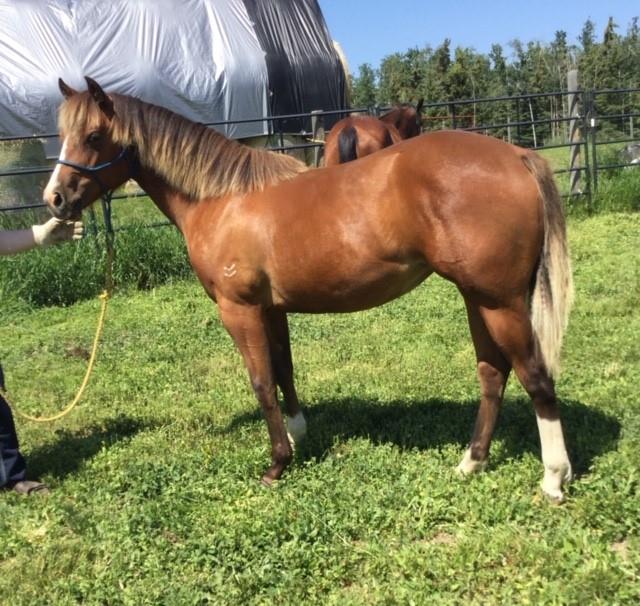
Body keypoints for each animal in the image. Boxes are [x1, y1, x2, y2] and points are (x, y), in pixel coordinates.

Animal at [46, 77, 576, 504]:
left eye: (94, 136)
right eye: (63, 134)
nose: (55, 199)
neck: (223, 198)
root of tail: (516, 155)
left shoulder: (239, 310)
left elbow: (261, 381)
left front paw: (277, 462)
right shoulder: (271, 309)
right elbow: (284, 371)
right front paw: (299, 436)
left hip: (499, 302)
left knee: (535, 378)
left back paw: (553, 478)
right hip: (477, 298)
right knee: (493, 374)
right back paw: (472, 462)